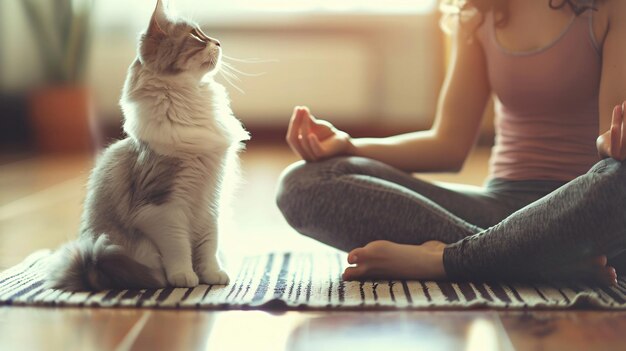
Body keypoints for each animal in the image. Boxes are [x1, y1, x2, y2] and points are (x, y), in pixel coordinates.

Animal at [45, 0, 249, 292]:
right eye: (196, 36)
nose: (219, 42)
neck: (190, 100)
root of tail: (91, 270)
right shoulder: (163, 207)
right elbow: (178, 247)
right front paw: (184, 277)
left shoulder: (211, 202)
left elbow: (209, 244)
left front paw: (212, 275)